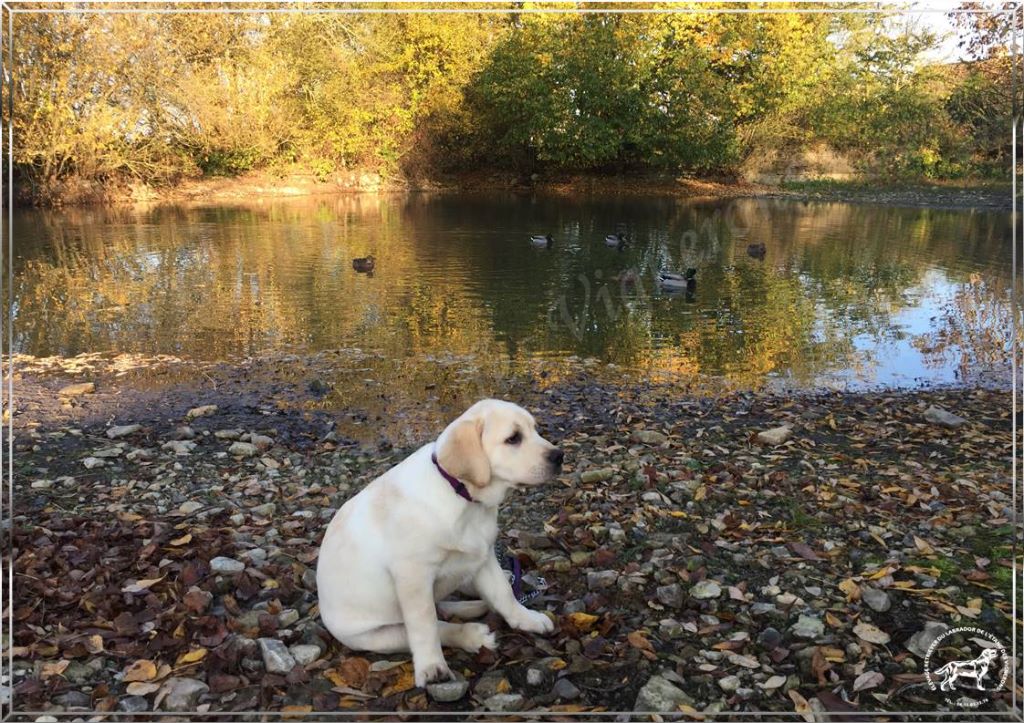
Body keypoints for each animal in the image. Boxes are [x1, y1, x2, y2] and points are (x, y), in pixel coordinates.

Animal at [317, 397, 565, 684]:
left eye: (535, 429)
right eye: (513, 438)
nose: (559, 456)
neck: (461, 494)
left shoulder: (482, 555)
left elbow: (503, 593)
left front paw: (526, 619)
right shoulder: (413, 577)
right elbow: (425, 625)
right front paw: (431, 665)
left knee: (447, 606)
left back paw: (477, 603)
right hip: (375, 635)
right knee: (435, 624)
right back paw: (471, 636)